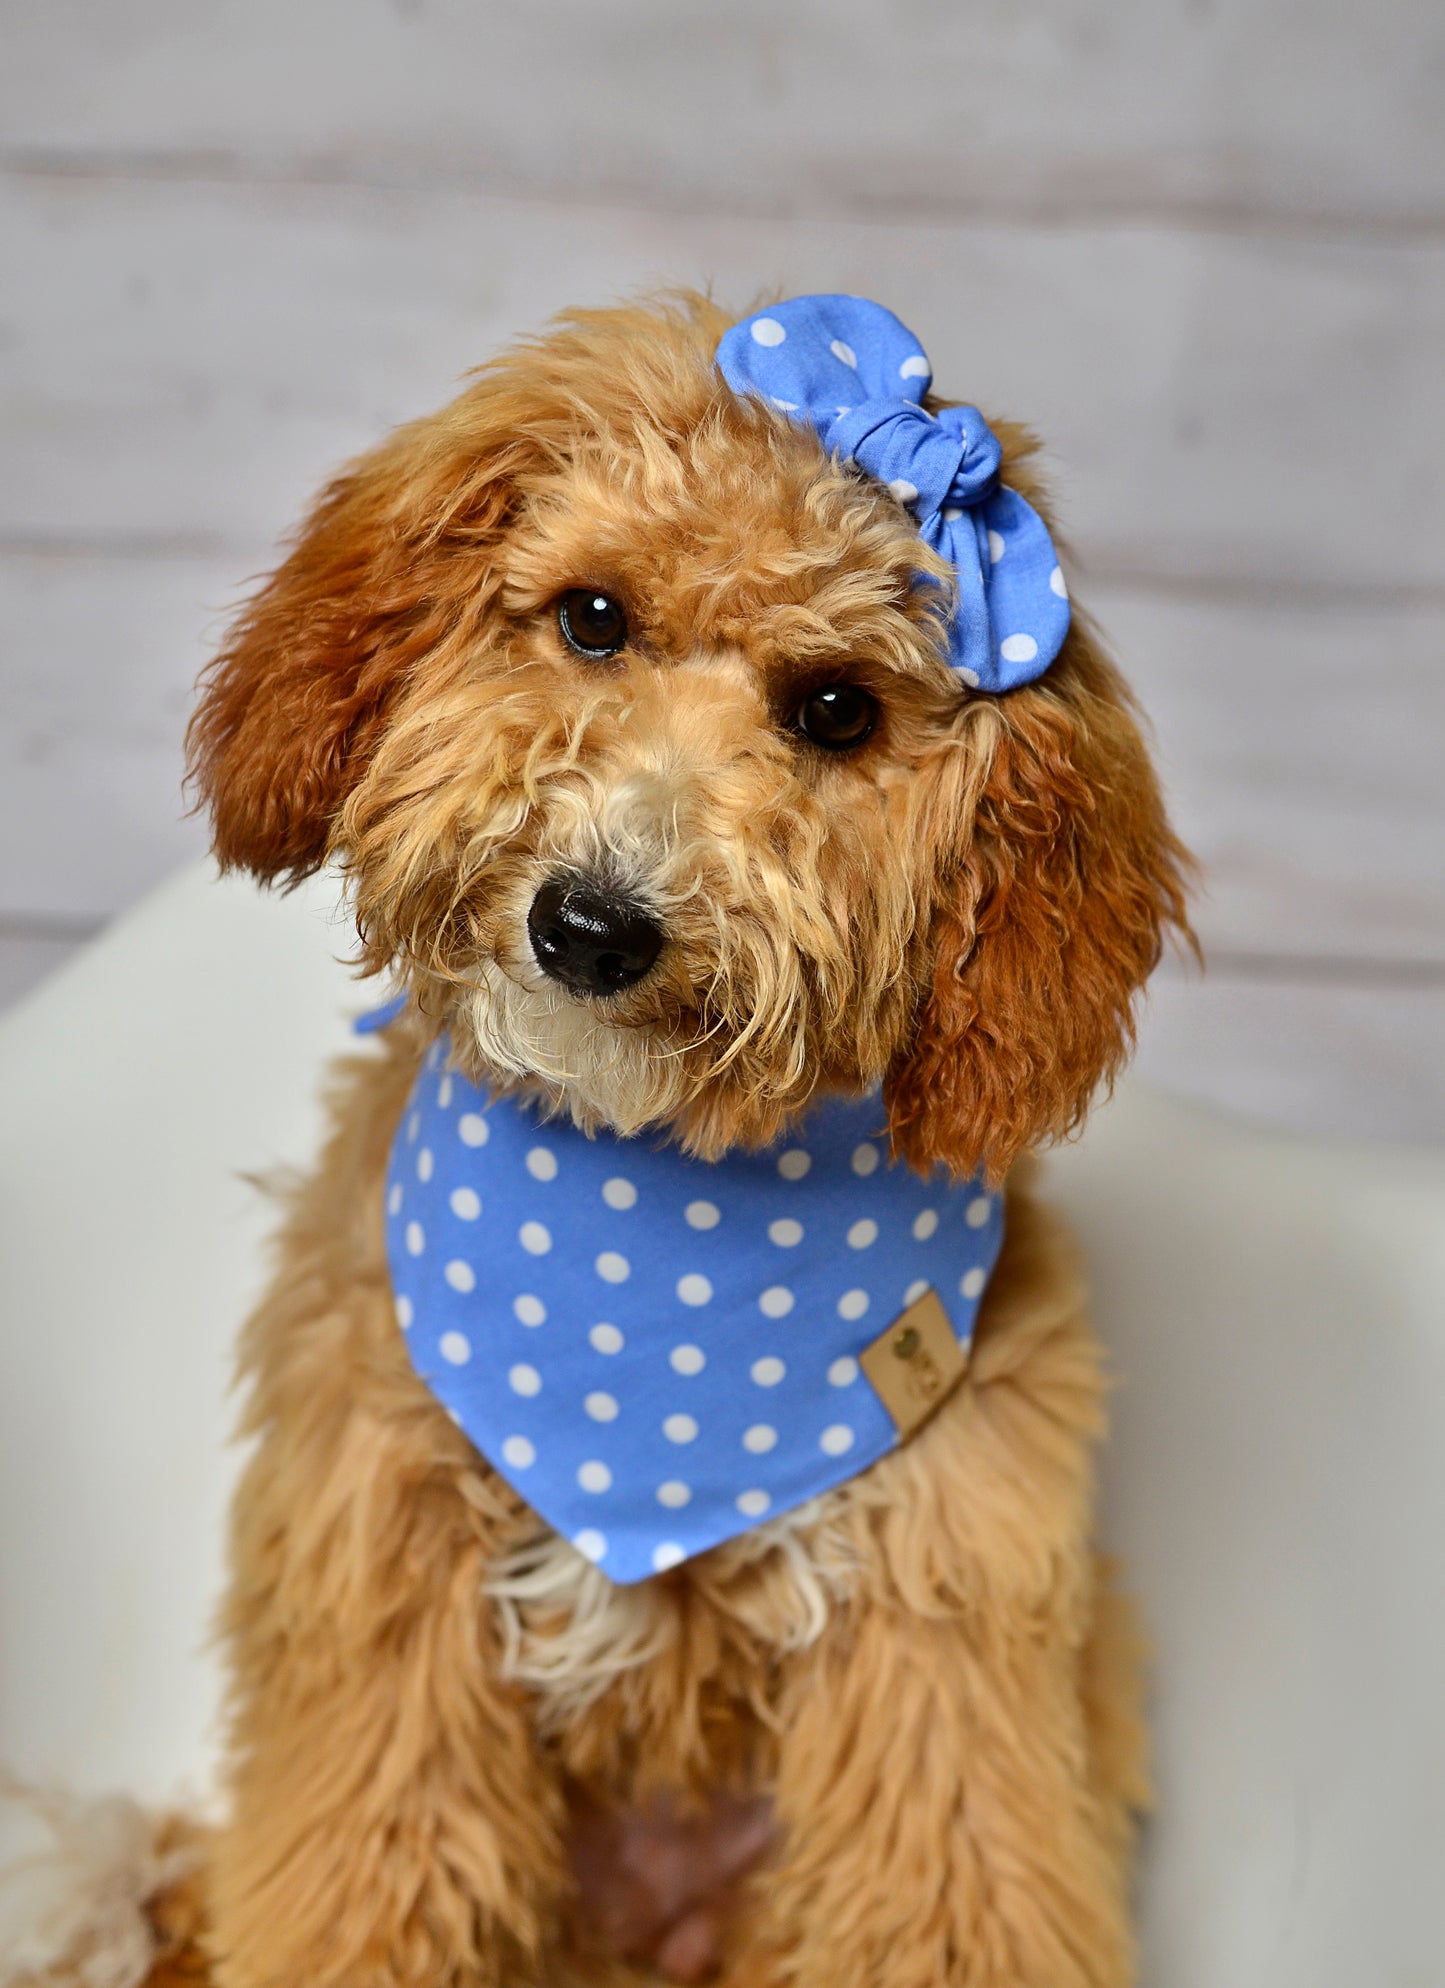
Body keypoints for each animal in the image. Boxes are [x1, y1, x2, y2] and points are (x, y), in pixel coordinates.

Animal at [160, 284, 1184, 1988]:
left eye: (833, 711)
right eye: (590, 618)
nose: (592, 925)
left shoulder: (942, 1623)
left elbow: (953, 1895)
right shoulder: (385, 1595)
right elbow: (366, 1883)